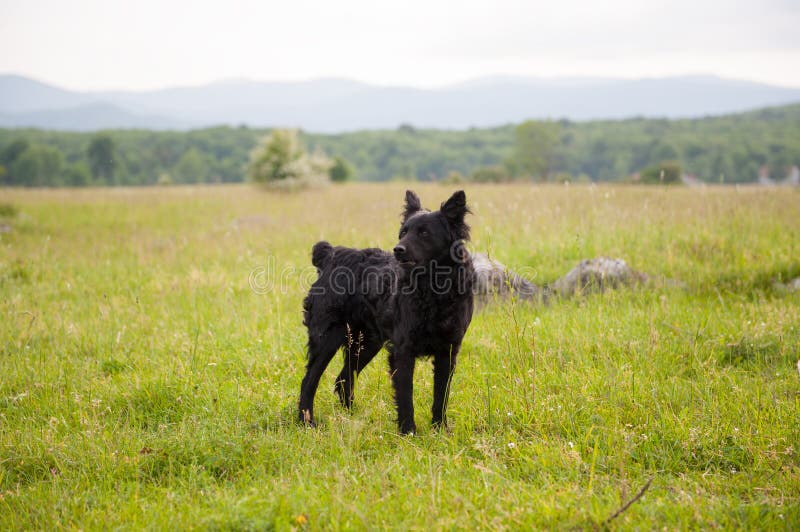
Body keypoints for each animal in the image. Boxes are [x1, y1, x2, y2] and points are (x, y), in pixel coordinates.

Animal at [300, 190, 476, 432]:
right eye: (403, 232)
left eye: (424, 233)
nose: (398, 249)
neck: (433, 288)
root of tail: (331, 255)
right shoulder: (403, 350)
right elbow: (405, 395)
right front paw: (408, 431)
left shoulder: (448, 351)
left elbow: (441, 395)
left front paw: (440, 429)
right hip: (327, 338)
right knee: (309, 381)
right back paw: (307, 422)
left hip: (366, 343)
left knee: (343, 380)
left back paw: (352, 418)